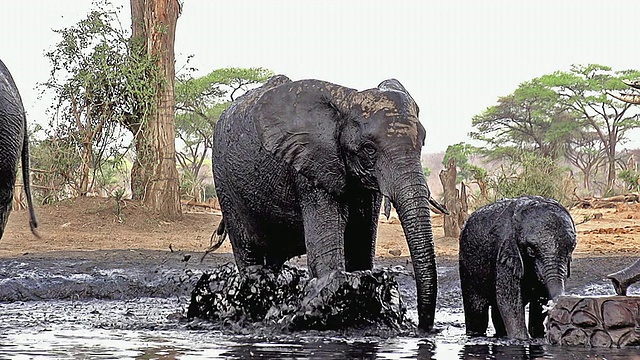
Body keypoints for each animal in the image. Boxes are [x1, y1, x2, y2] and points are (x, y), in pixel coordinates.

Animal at [212, 76, 438, 332]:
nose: (422, 328)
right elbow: (327, 261)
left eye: (422, 142)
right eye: (369, 149)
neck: (345, 103)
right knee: (248, 256)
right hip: (225, 186)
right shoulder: (311, 169)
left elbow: (361, 252)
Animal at [458, 197, 576, 340]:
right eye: (530, 251)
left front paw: (538, 336)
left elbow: (540, 298)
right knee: (477, 312)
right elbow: (509, 301)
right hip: (467, 264)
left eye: (571, 249)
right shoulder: (506, 253)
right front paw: (522, 339)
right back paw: (475, 335)